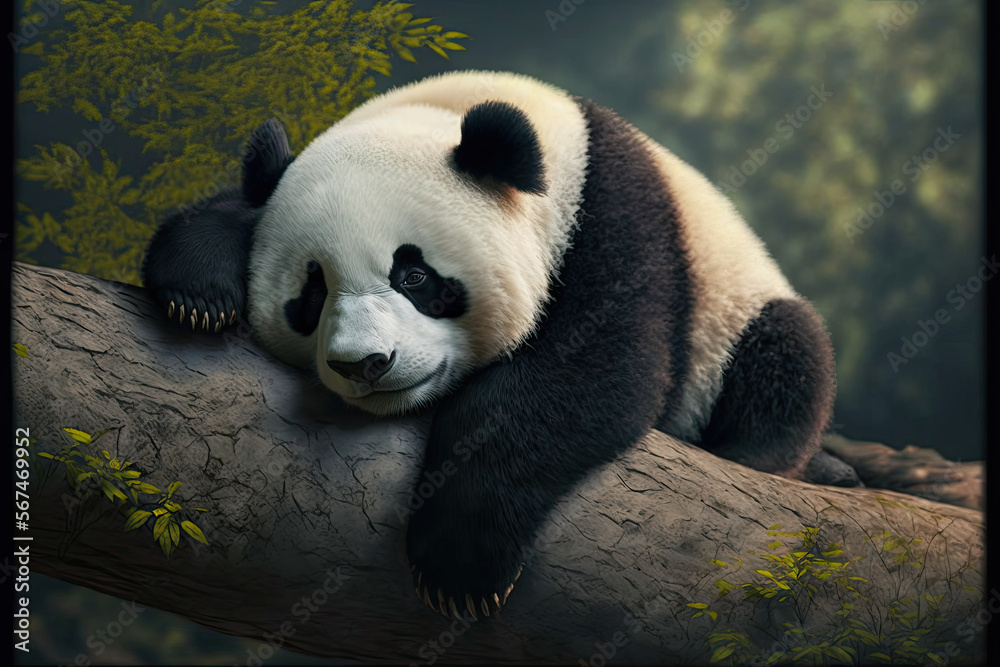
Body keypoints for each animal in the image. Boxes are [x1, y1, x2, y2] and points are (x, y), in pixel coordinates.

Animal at [143, 70, 845, 621]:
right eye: (311, 295)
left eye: (415, 276)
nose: (365, 364)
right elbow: (233, 209)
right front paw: (197, 292)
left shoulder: (614, 220)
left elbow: (592, 372)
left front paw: (459, 564)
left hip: (733, 307)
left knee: (786, 360)